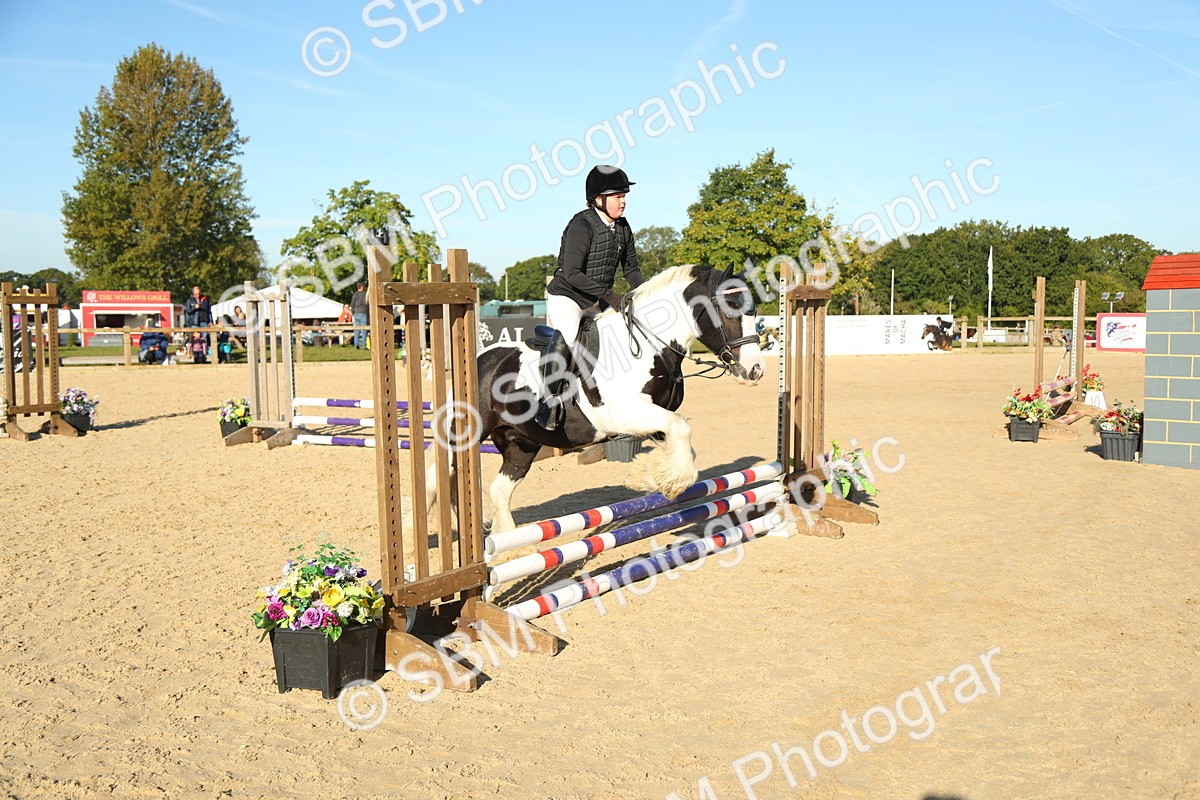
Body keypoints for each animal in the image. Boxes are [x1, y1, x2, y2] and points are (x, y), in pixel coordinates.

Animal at [413, 264, 767, 539]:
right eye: (730, 307)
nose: (756, 370)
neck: (649, 343)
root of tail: (478, 360)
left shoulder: (653, 416)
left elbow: (680, 442)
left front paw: (651, 476)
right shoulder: (624, 414)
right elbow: (681, 430)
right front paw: (661, 481)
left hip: (521, 442)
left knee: (500, 489)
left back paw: (513, 545)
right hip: (464, 435)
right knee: (436, 478)